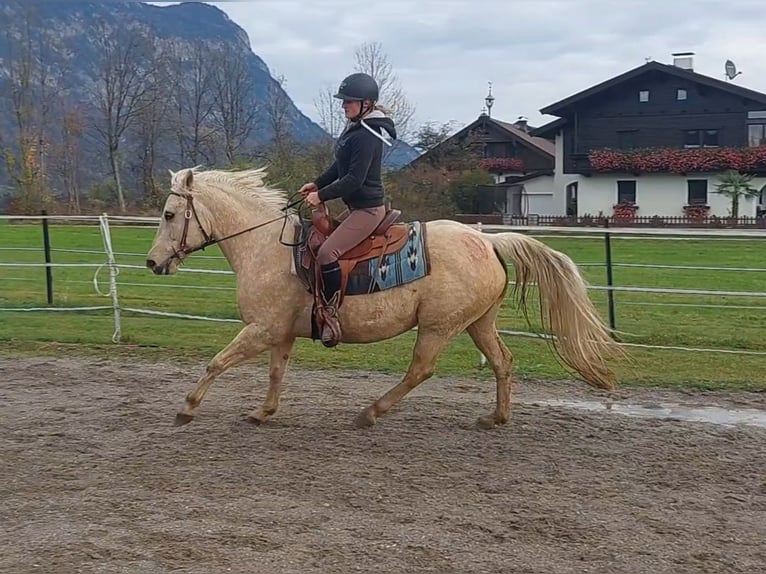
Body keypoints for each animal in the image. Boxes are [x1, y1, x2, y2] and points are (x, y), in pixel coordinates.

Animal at [145, 166, 623, 429]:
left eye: (169, 214)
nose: (152, 263)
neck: (265, 245)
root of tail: (487, 241)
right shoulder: (281, 333)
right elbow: (276, 373)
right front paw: (263, 412)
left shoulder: (261, 330)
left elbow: (217, 363)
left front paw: (187, 408)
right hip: (478, 323)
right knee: (503, 363)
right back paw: (495, 418)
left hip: (438, 327)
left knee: (420, 370)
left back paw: (370, 412)